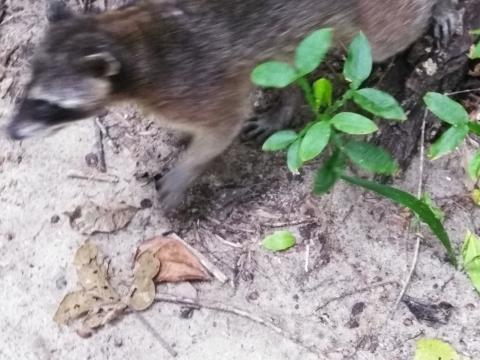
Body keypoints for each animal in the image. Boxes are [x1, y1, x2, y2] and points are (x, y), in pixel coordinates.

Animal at [6, 0, 458, 210]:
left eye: (48, 105)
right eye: (28, 91)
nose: (9, 132)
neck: (134, 44)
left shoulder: (201, 85)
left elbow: (222, 128)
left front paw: (186, 169)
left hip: (372, 30)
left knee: (393, 33)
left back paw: (440, 7)